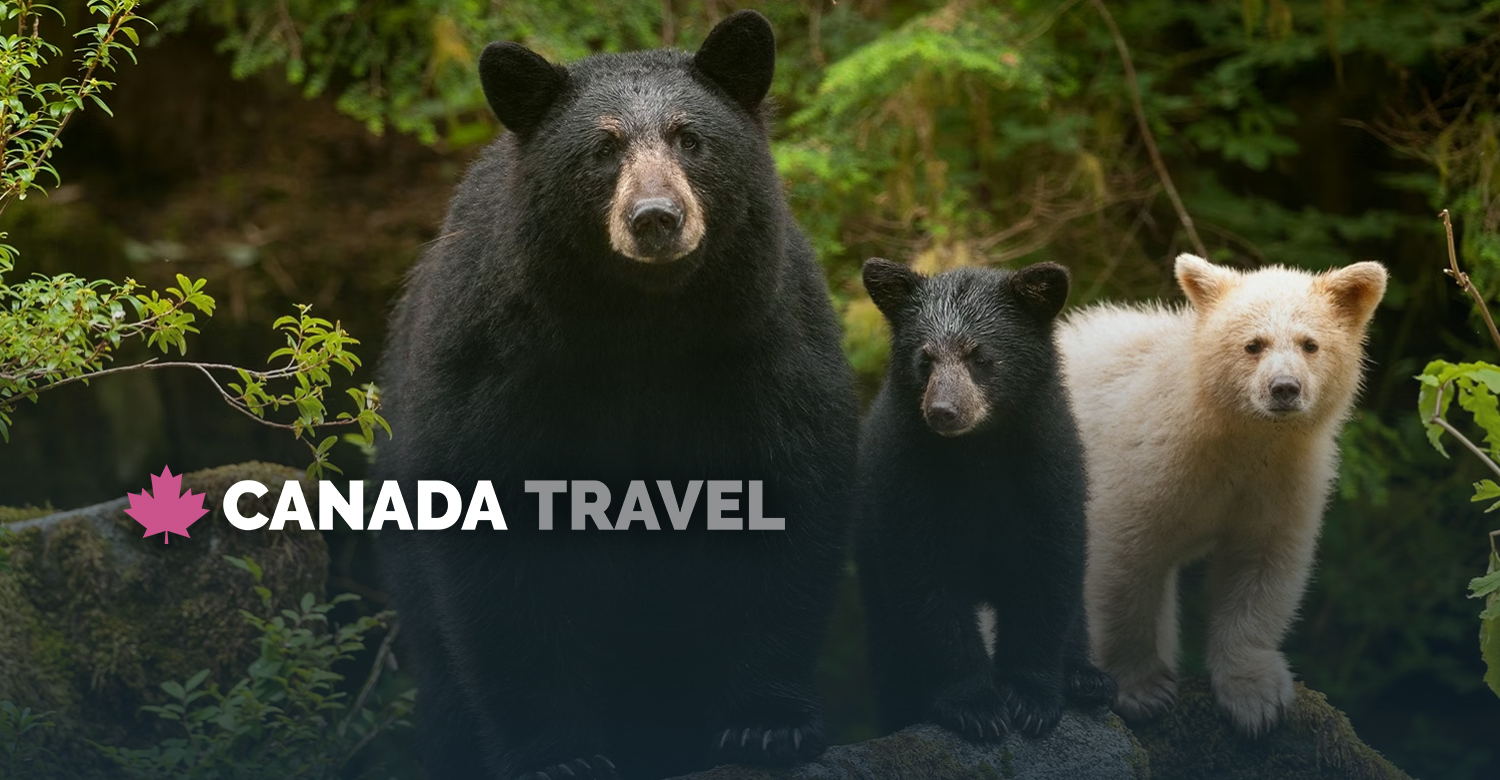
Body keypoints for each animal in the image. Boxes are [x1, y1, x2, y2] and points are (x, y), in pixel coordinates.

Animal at [372, 12, 858, 780]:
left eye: (690, 137)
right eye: (602, 148)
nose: (656, 217)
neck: (643, 325)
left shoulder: (763, 347)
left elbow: (785, 511)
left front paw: (766, 725)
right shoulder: (501, 365)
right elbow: (502, 550)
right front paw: (557, 754)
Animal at [854, 259, 1116, 742]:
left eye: (980, 356)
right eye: (925, 358)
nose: (943, 411)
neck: (978, 454)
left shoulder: (1047, 472)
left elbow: (1047, 575)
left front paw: (1031, 699)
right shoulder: (909, 478)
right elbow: (925, 583)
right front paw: (976, 707)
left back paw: (1087, 679)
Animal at [1058, 254, 1387, 736]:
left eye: (1310, 344)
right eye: (1254, 345)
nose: (1284, 388)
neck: (1232, 434)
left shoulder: (1282, 479)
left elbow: (1261, 566)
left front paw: (1257, 698)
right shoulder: (1147, 460)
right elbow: (1125, 561)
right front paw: (1142, 689)